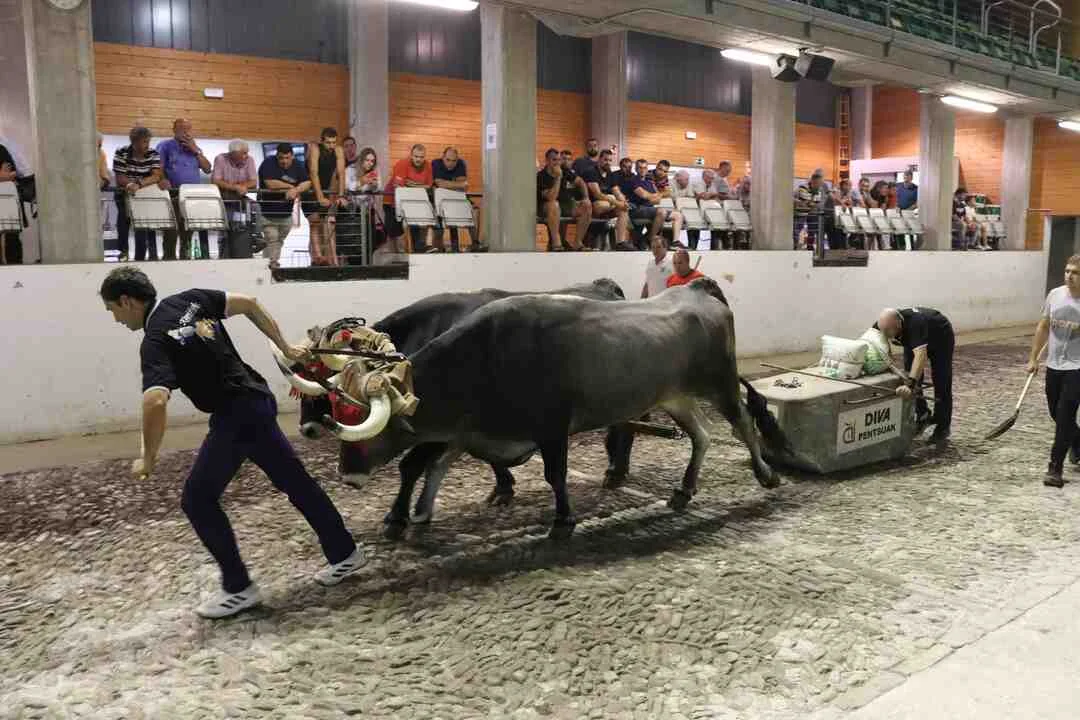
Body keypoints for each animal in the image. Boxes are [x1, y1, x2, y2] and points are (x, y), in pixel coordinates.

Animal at [276, 278, 631, 514]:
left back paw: (615, 472)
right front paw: (503, 487)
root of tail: (606, 286)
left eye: (319, 377)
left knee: (624, 427)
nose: (307, 429)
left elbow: (413, 465)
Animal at [321, 277, 791, 540]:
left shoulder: (551, 426)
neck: (485, 355)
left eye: (362, 421)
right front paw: (416, 513)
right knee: (702, 435)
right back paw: (683, 489)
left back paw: (767, 475)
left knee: (743, 425)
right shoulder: (468, 430)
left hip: (720, 383)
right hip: (673, 396)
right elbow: (432, 465)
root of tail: (696, 289)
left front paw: (563, 521)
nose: (347, 476)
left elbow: (555, 475)